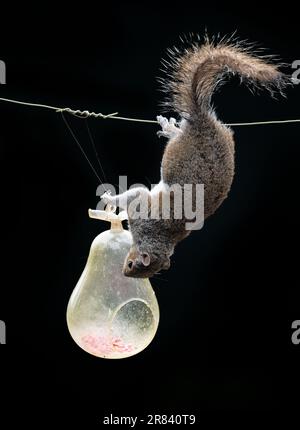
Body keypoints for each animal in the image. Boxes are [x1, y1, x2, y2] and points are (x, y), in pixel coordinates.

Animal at [102, 37, 290, 278]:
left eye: (134, 267)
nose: (125, 273)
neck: (157, 236)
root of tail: (204, 122)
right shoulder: (143, 206)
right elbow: (134, 194)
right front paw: (110, 200)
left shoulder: (143, 212)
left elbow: (133, 194)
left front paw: (110, 201)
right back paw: (169, 127)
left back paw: (170, 128)